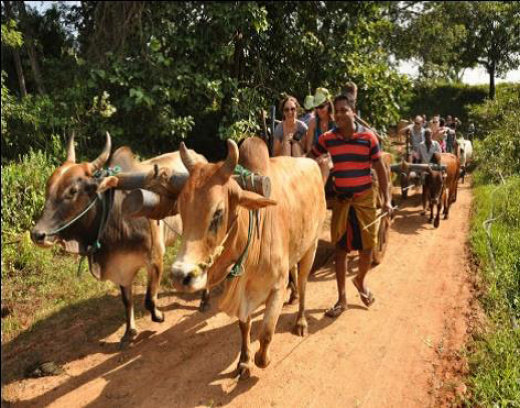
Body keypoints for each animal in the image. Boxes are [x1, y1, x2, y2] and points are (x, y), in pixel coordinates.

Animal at [30, 133, 206, 345]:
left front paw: (158, 316)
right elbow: (126, 300)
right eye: (48, 187)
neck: (115, 215)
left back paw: (204, 299)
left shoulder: (155, 257)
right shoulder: (121, 267)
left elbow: (149, 299)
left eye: (72, 191)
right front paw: (129, 331)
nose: (38, 234)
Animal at [168, 137, 326, 379]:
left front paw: (263, 359)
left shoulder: (277, 286)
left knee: (303, 281)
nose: (179, 276)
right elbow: (244, 326)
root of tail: (312, 163)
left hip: (312, 245)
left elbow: (267, 332)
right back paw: (294, 297)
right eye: (181, 210)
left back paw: (300, 321)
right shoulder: (240, 290)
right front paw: (243, 361)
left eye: (218, 213)